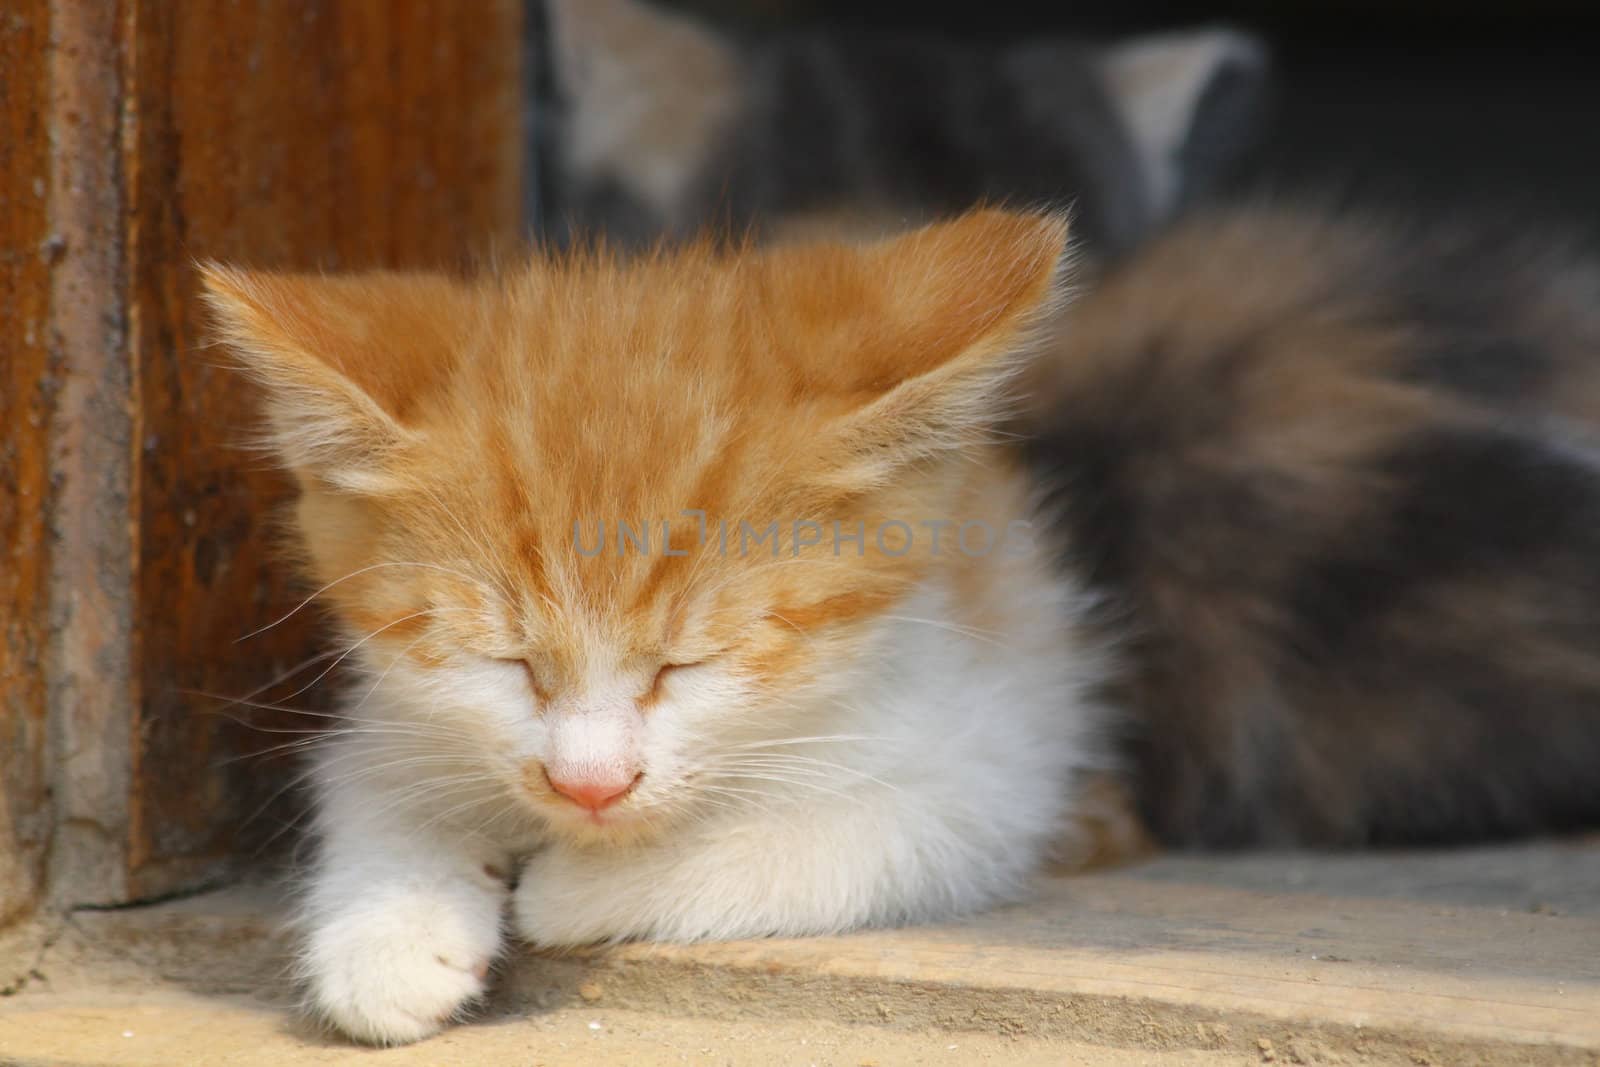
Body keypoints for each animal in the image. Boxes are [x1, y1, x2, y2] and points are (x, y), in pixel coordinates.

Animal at [200, 211, 1107, 1049]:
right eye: (507, 661)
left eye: (691, 663)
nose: (589, 785)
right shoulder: (396, 708)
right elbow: (368, 779)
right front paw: (389, 926)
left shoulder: (985, 763)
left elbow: (843, 833)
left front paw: (573, 888)